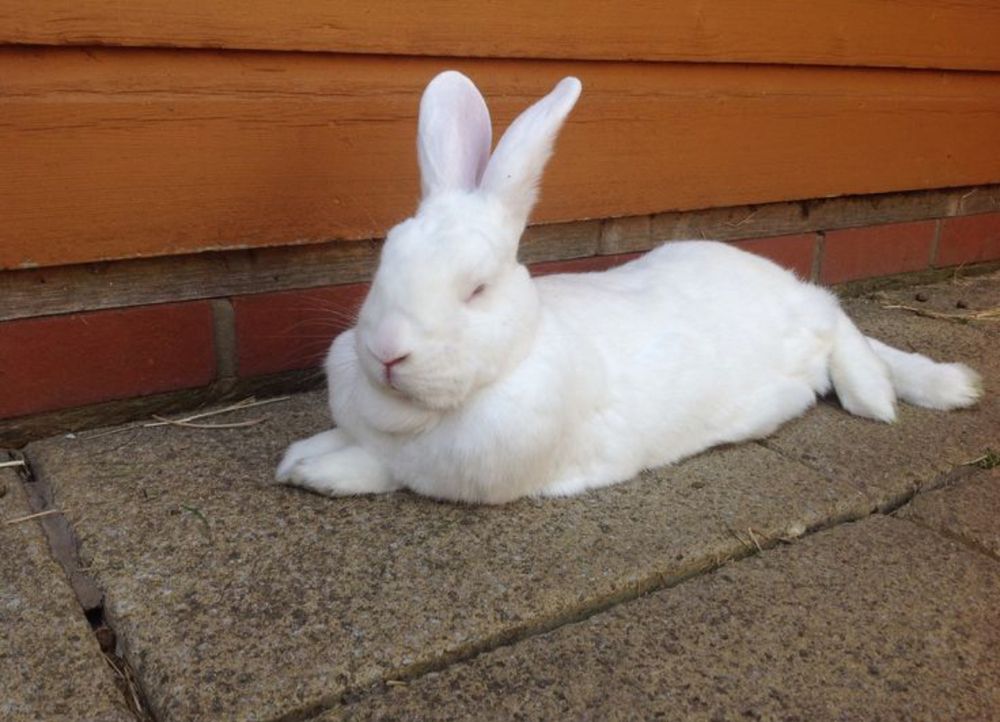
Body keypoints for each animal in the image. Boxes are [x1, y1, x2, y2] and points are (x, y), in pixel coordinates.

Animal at [275, 71, 982, 504]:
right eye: (383, 265)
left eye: (476, 290)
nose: (387, 352)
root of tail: (780, 281)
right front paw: (303, 455)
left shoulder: (458, 472)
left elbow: (381, 469)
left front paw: (310, 469)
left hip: (813, 318)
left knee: (841, 322)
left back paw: (889, 395)